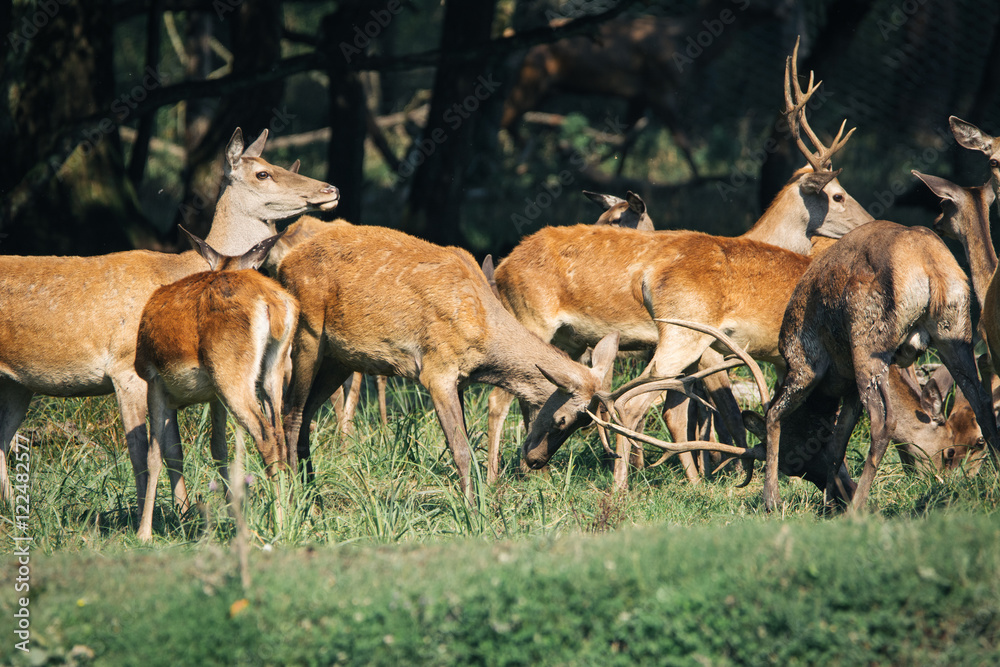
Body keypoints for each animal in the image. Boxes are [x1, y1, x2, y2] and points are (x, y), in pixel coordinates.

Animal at [134, 229, 296, 542]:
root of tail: (271, 302)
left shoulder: (153, 380)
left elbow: (155, 455)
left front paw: (144, 533)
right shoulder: (213, 397)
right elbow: (217, 449)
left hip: (230, 372)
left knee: (265, 437)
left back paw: (277, 527)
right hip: (272, 371)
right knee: (280, 436)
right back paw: (286, 520)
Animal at [275, 222, 620, 501]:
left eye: (584, 424)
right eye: (562, 419)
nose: (536, 460)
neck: (484, 339)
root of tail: (283, 265)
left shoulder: (461, 380)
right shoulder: (436, 371)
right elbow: (462, 450)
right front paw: (473, 511)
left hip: (341, 357)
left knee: (307, 414)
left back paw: (314, 493)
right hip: (308, 334)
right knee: (290, 411)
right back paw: (294, 493)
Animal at [490, 38, 873, 489]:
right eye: (838, 194)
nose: (870, 223)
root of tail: (501, 266)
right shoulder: (730, 351)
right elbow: (728, 413)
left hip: (577, 340)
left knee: (555, 391)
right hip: (580, 326)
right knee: (510, 394)